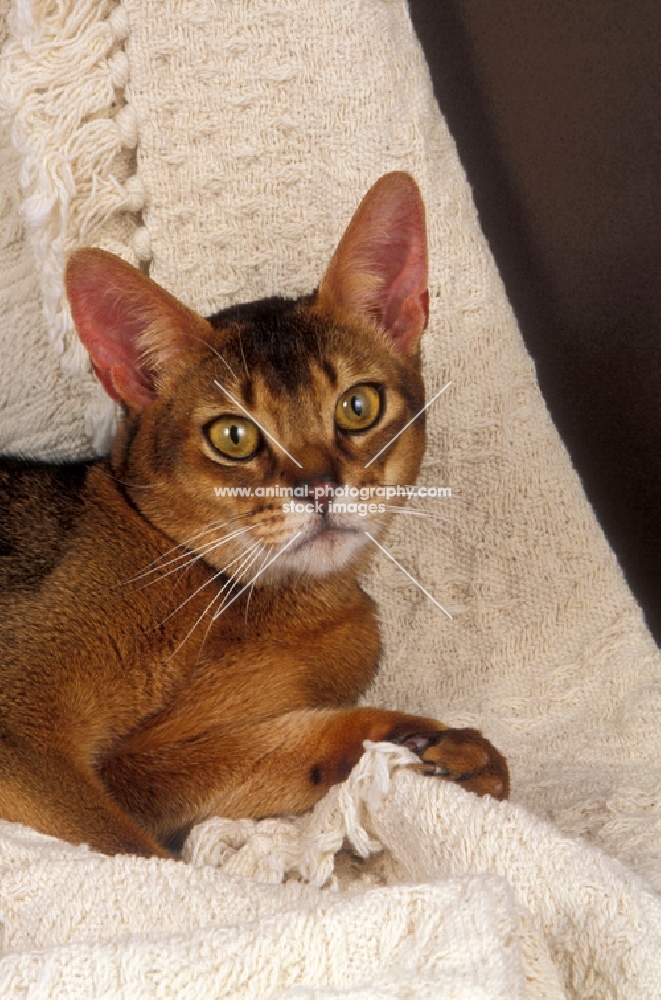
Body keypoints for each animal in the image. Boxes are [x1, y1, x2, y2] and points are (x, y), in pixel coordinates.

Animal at [0, 174, 506, 860]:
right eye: (233, 436)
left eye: (358, 406)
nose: (320, 489)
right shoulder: (22, 736)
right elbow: (139, 854)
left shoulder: (140, 766)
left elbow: (290, 749)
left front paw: (435, 742)